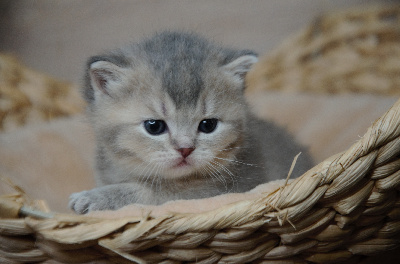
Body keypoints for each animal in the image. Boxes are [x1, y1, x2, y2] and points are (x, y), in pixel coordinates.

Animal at [69, 31, 312, 213]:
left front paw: (97, 198)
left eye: (208, 125)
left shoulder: (220, 192)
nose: (185, 149)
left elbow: (151, 193)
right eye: (154, 126)